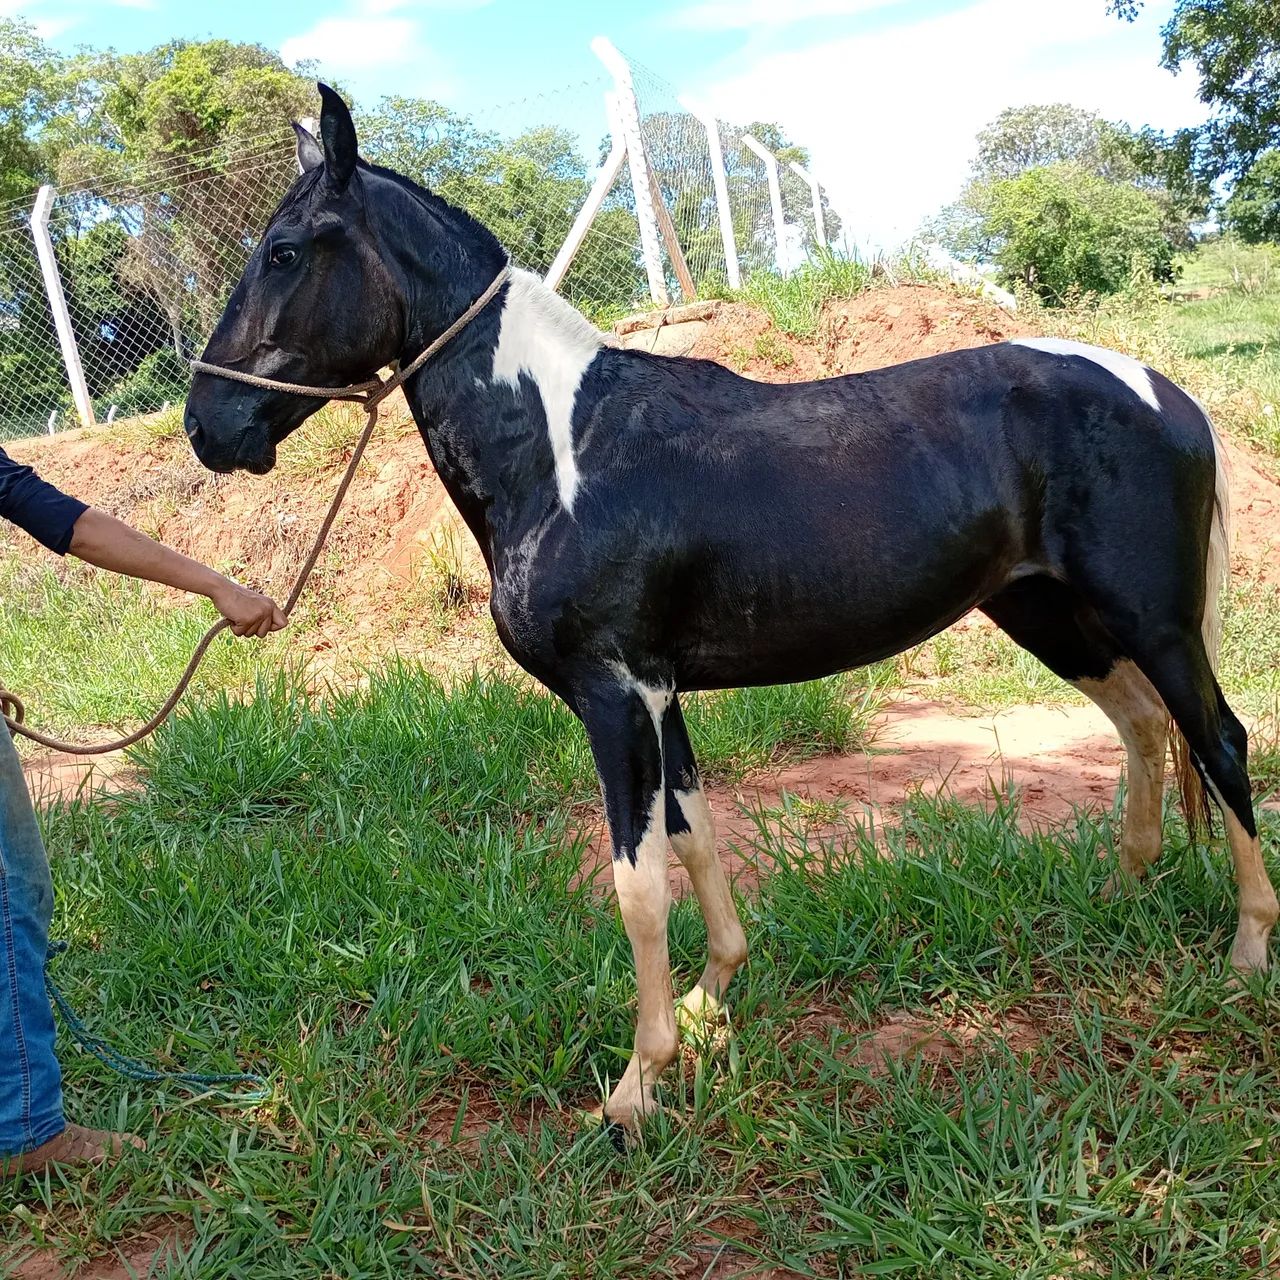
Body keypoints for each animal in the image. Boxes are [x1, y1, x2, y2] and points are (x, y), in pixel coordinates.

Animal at [185, 85, 1276, 1131]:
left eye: (284, 251)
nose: (208, 425)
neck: (563, 451)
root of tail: (1164, 391)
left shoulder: (612, 697)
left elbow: (635, 884)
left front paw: (638, 1082)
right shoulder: (659, 694)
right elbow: (694, 837)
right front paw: (711, 1008)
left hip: (1152, 622)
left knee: (1218, 741)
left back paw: (1244, 953)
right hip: (1051, 616)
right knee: (1143, 727)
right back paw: (1120, 890)